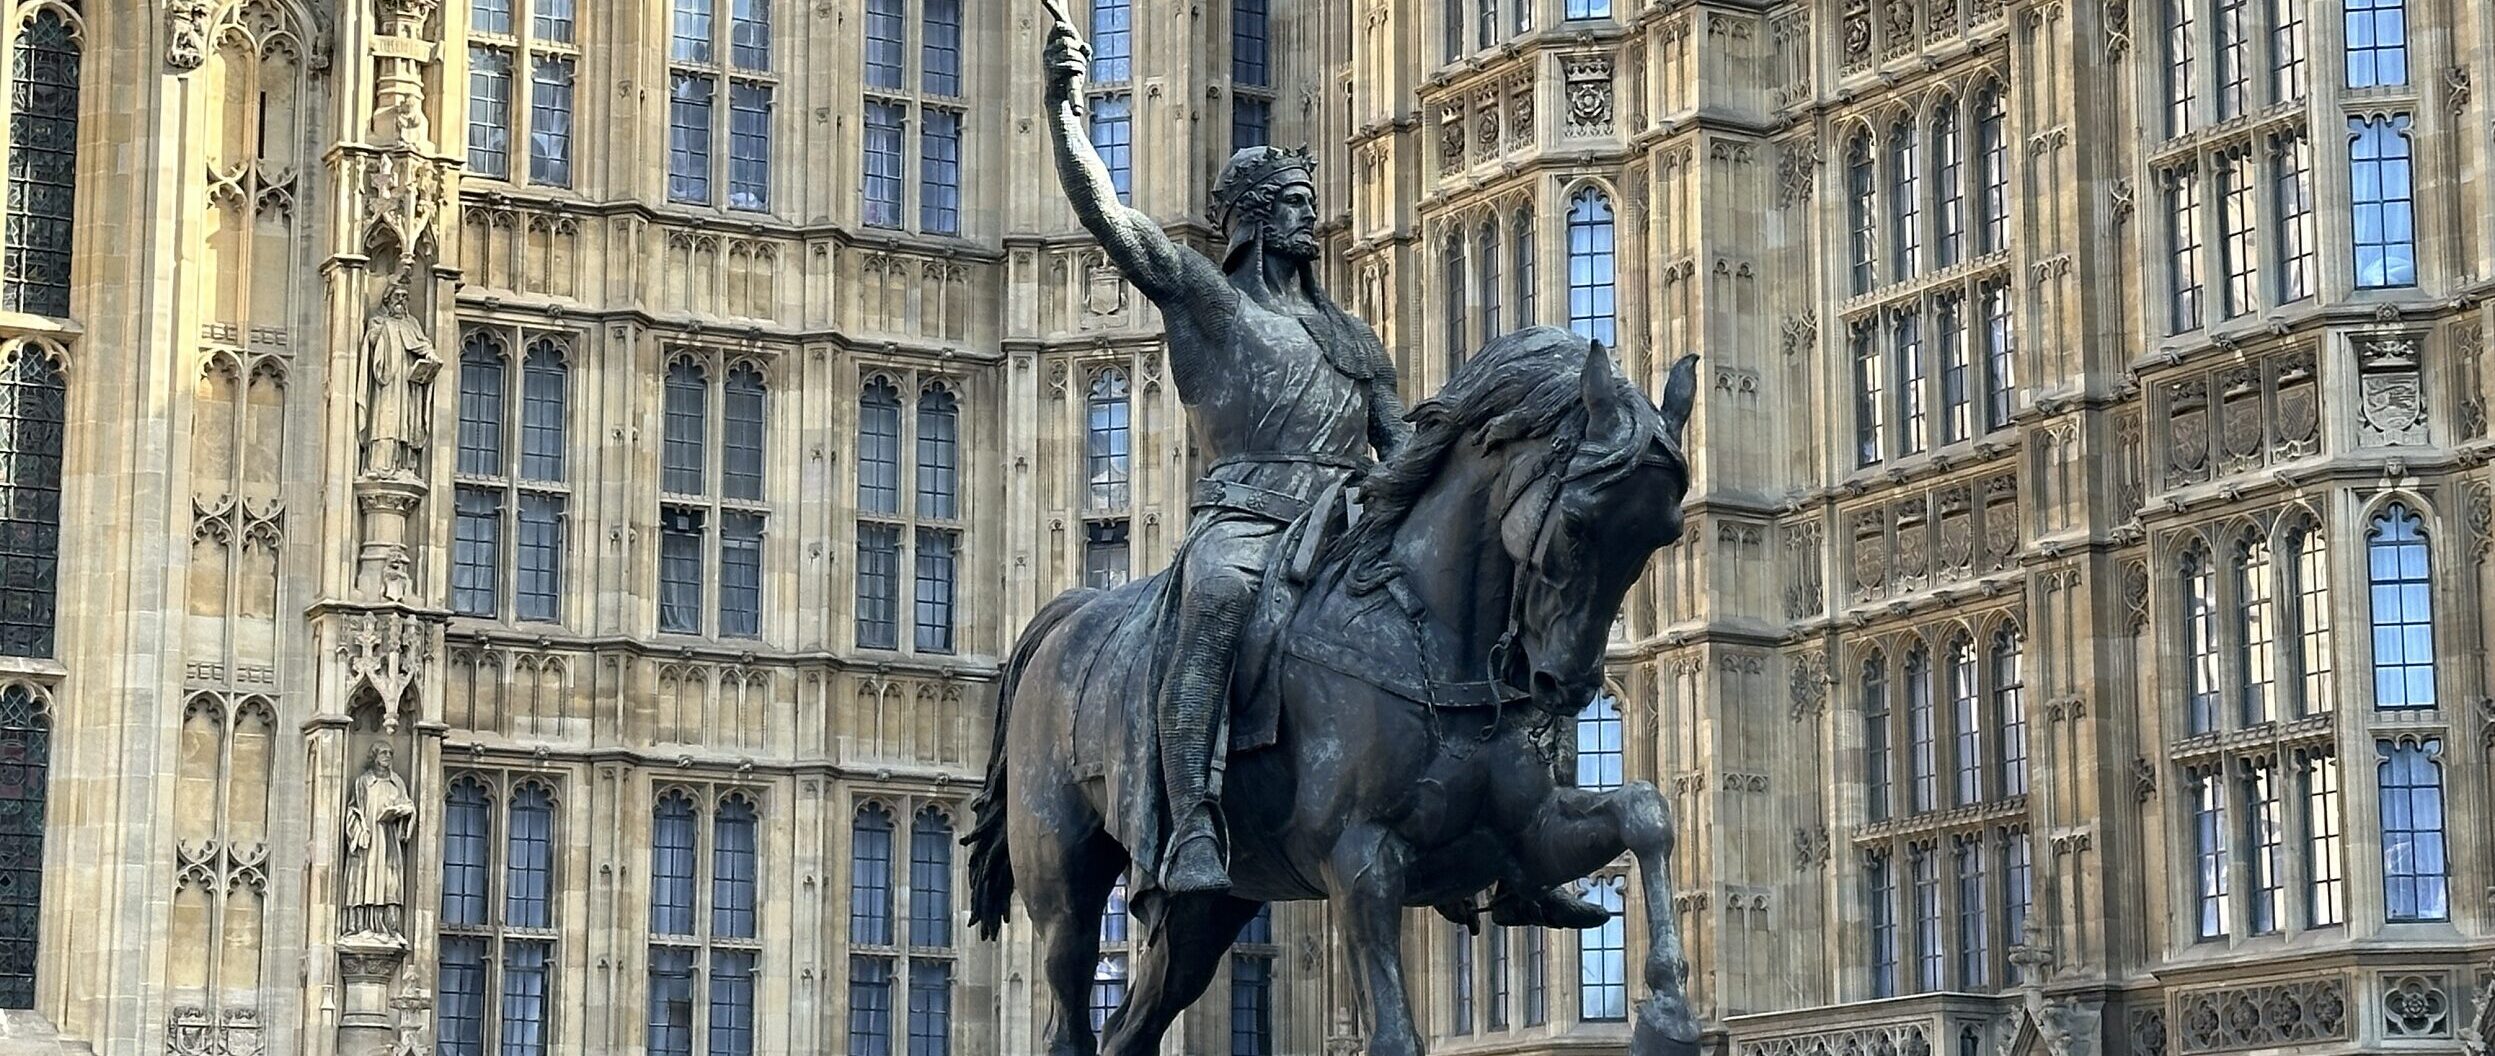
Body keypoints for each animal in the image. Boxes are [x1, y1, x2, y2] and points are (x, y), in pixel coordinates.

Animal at [963, 329, 1706, 1056]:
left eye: (1661, 535)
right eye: (1576, 523)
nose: (1565, 683)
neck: (1431, 638)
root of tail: (1070, 614)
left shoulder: (1522, 836)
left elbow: (1645, 812)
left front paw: (1670, 1011)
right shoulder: (1360, 857)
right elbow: (1395, 1034)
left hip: (1208, 906)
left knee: (1130, 1027)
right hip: (1065, 881)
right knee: (1068, 1016)